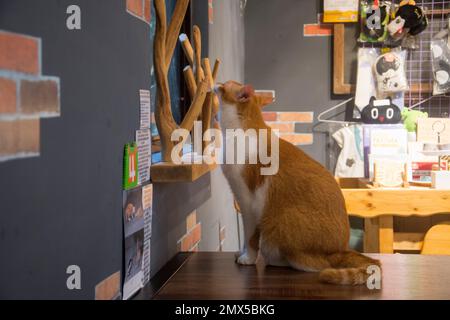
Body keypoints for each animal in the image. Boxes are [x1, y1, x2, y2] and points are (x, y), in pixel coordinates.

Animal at [216, 80, 382, 284]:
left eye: (223, 85)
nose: (216, 84)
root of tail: (340, 249)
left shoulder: (248, 204)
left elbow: (250, 237)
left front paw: (247, 258)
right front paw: (241, 253)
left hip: (283, 220)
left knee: (314, 264)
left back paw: (275, 260)